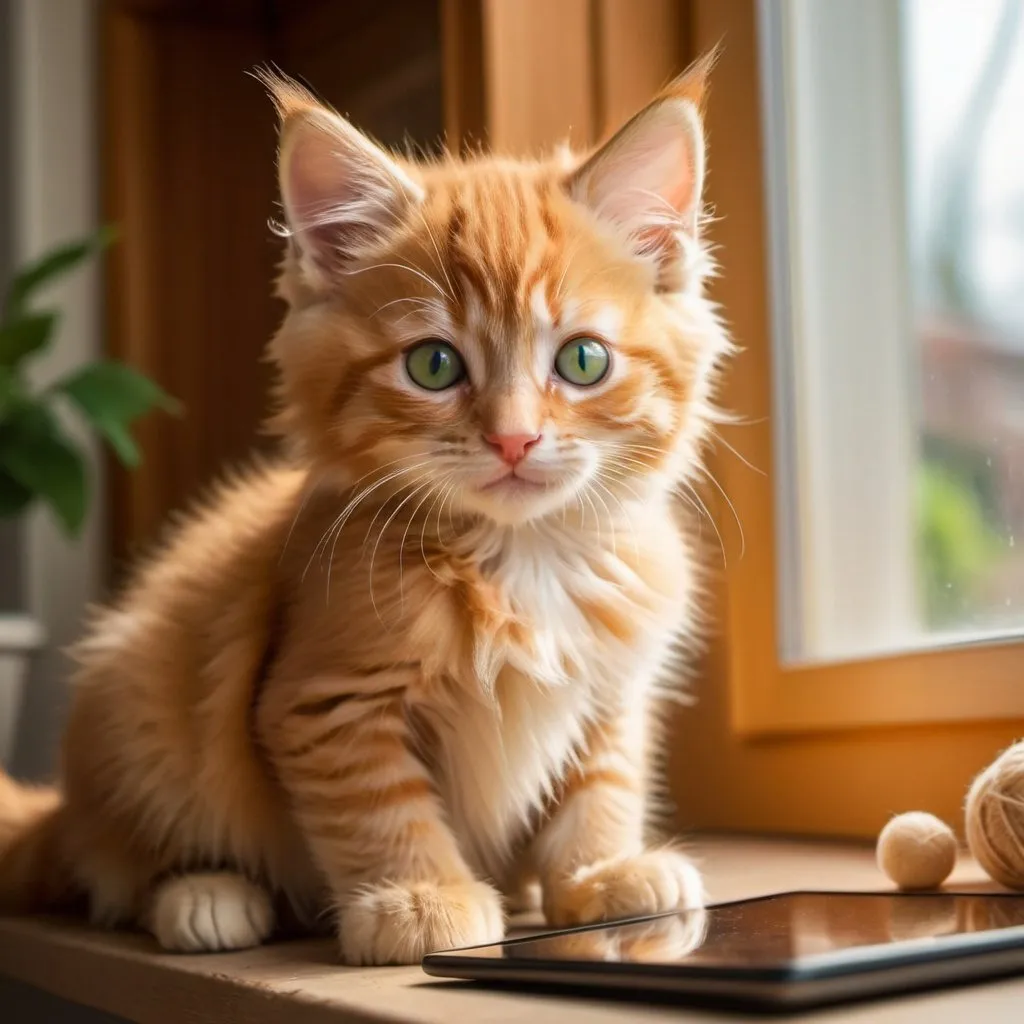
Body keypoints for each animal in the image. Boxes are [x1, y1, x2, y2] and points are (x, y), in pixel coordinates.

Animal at [0, 54, 729, 966]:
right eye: (433, 365)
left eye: (584, 361)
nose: (514, 438)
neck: (524, 556)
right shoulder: (325, 699)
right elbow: (383, 808)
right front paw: (421, 900)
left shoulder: (611, 692)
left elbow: (600, 786)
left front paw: (597, 879)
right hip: (138, 702)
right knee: (117, 872)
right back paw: (206, 896)